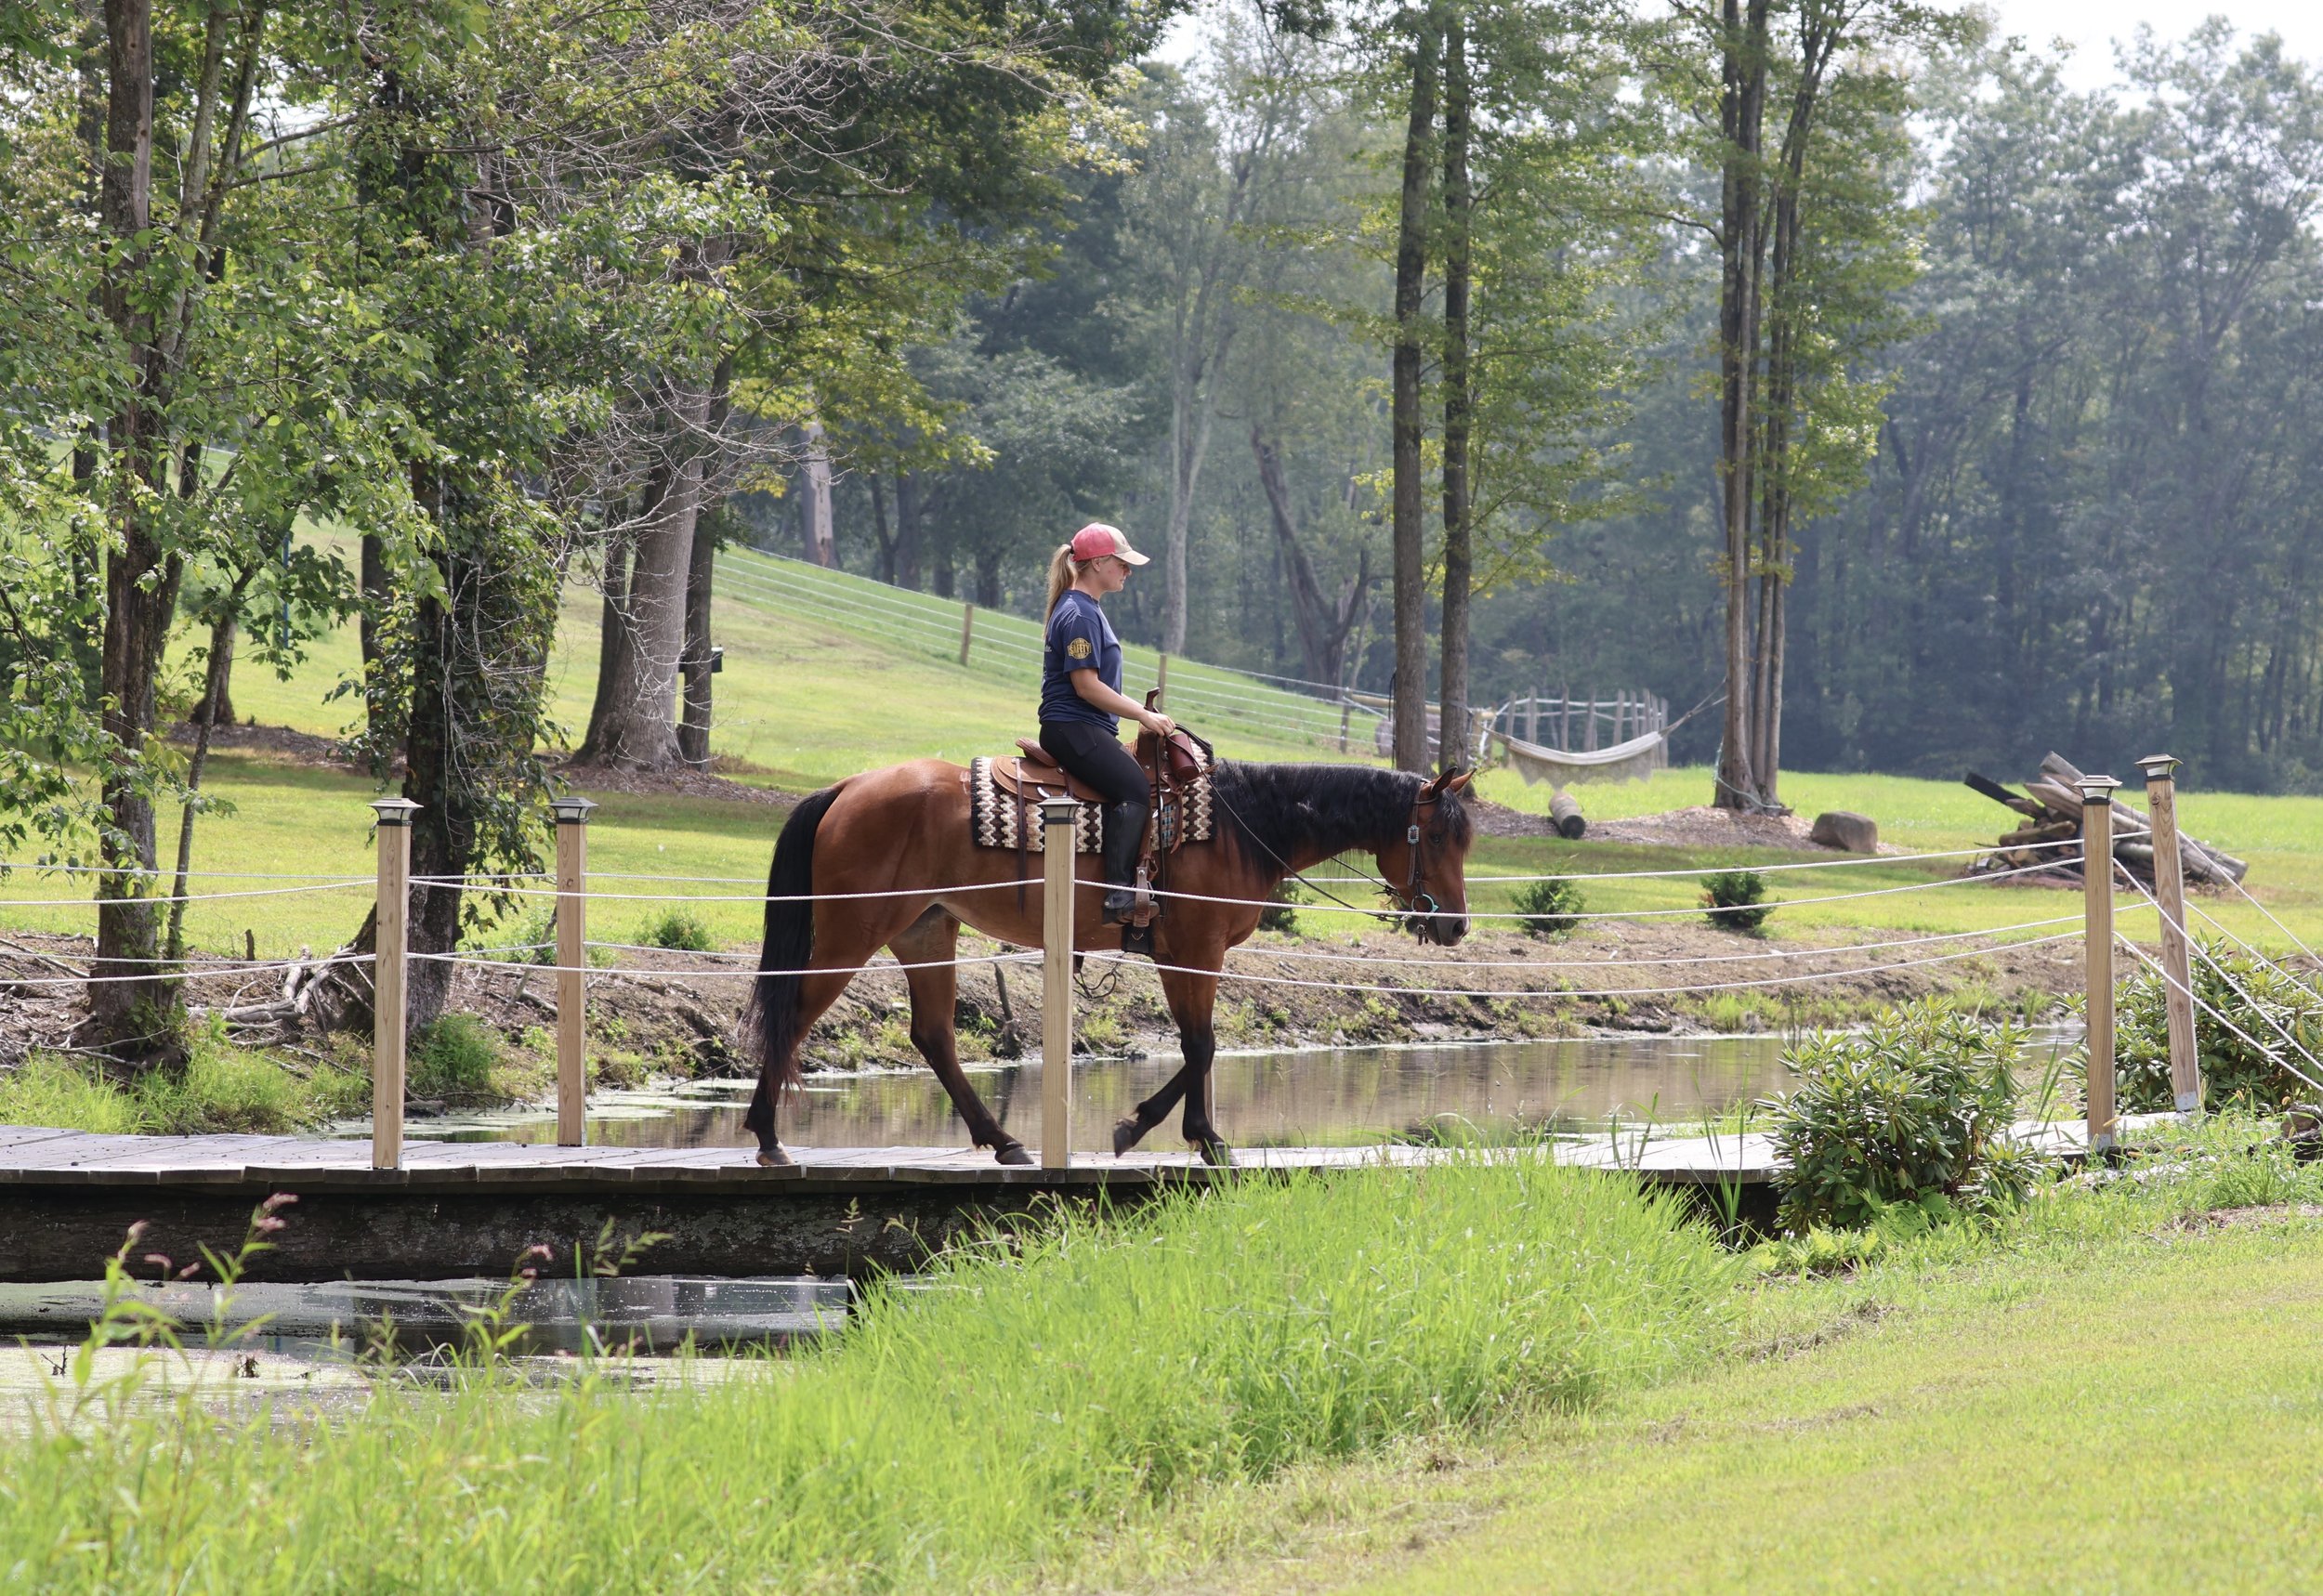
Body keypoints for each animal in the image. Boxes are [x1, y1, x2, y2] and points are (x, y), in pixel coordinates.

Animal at [740, 757, 1475, 1167]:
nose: (1456, 923)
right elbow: (1203, 1046)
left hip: (925, 930)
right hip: (853, 931)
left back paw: (1004, 1140)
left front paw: (1184, 1131)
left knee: (933, 1036)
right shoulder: (1196, 952)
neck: (1239, 825)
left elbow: (1197, 1045)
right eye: (1439, 833)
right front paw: (1168, 1132)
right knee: (792, 1015)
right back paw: (767, 1135)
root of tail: (848, 787)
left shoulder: (1182, 956)